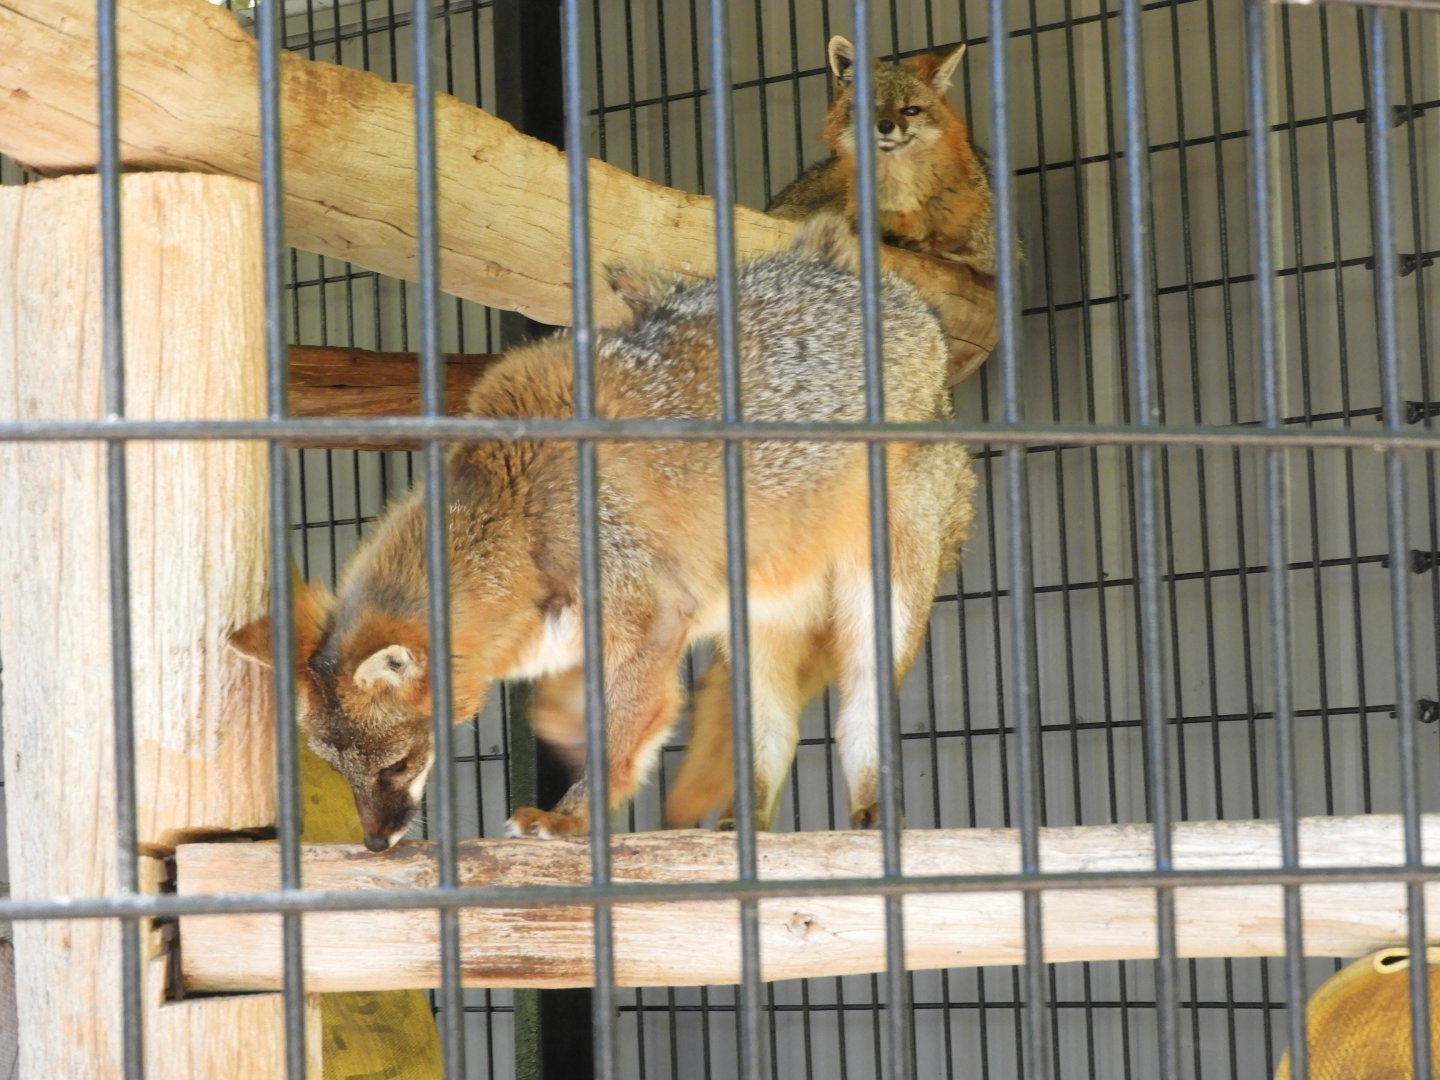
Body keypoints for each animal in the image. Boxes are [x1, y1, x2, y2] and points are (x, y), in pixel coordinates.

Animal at [228, 217, 973, 851]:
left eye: (399, 763)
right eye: (337, 770)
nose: (376, 843)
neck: (518, 508)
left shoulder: (651, 611)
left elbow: (618, 733)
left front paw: (568, 820)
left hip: (880, 602)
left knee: (859, 716)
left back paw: (872, 815)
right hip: (755, 628)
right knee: (774, 731)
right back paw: (742, 825)